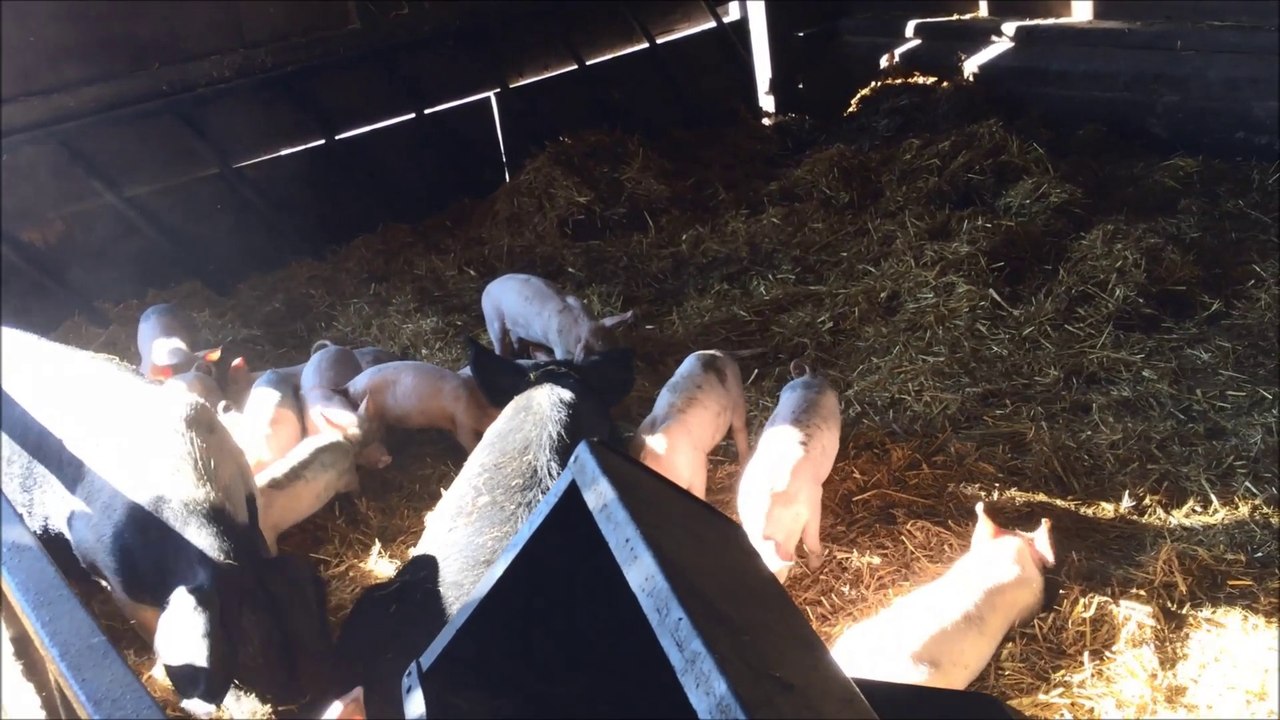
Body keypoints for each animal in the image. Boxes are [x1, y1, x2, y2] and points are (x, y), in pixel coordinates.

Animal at [481, 273, 635, 363]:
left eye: (616, 347)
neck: (582, 328)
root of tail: (488, 286)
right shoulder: (561, 349)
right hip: (492, 317)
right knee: (499, 342)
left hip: (514, 325)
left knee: (515, 337)